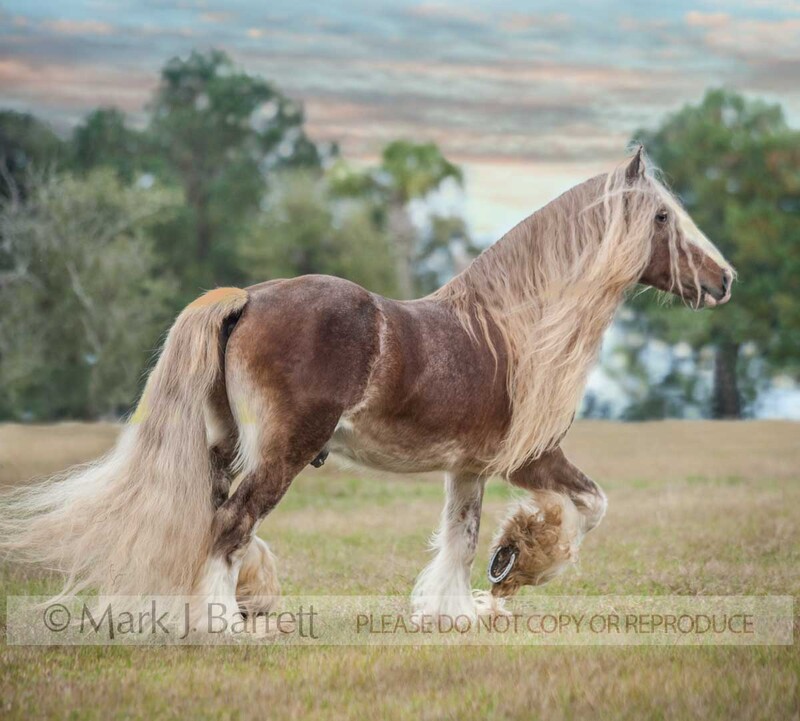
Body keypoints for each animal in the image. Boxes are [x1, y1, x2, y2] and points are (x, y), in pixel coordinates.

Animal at [0, 148, 734, 627]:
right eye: (663, 218)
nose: (723, 279)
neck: (514, 329)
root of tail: (246, 299)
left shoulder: (467, 467)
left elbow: (461, 534)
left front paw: (454, 610)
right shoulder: (531, 457)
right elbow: (590, 505)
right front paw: (518, 560)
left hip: (227, 447)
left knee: (215, 514)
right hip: (284, 452)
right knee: (232, 522)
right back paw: (222, 621)